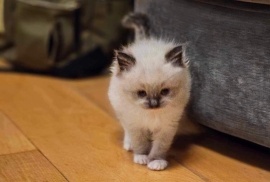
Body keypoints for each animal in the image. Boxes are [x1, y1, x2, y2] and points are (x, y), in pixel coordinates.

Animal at [107, 13, 192, 171]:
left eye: (164, 91)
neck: (152, 115)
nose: (154, 104)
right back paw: (128, 144)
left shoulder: (167, 127)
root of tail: (144, 42)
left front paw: (156, 162)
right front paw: (141, 157)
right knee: (126, 129)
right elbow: (140, 143)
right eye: (141, 93)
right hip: (120, 108)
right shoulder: (135, 124)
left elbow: (159, 147)